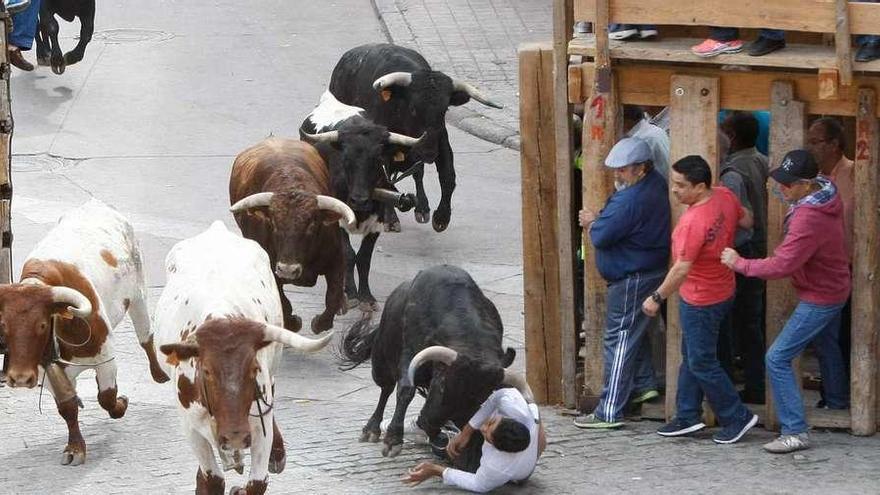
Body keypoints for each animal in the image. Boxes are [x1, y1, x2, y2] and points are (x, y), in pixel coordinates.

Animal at [1, 197, 168, 464]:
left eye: (42, 325)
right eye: (4, 325)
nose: (19, 378)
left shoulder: (106, 356)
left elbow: (107, 397)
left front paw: (121, 404)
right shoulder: (48, 371)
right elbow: (67, 408)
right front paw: (75, 448)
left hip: (138, 294)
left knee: (146, 337)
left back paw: (159, 374)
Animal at [155, 223, 334, 494]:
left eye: (253, 369)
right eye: (206, 371)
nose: (236, 437)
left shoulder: (259, 425)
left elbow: (257, 483)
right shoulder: (191, 429)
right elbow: (213, 479)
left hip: (273, 370)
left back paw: (277, 454)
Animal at [338, 266, 528, 460]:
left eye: (480, 396)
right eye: (442, 385)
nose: (427, 423)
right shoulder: (409, 355)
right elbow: (405, 390)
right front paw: (393, 440)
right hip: (381, 363)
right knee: (386, 389)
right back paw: (371, 429)